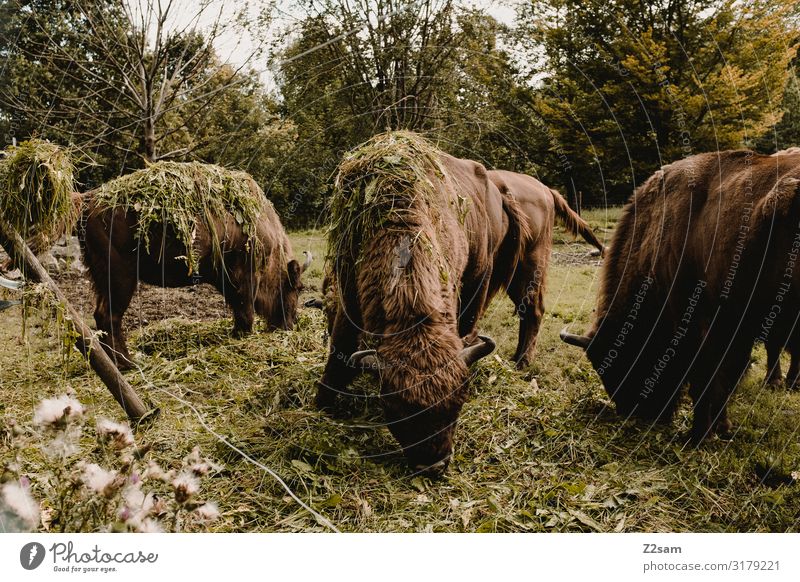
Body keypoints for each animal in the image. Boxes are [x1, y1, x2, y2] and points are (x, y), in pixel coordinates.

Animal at [79, 167, 308, 372]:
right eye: (297, 288)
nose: (289, 326)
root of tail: (89, 202)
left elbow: (238, 311)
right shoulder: (246, 277)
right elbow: (246, 313)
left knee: (101, 316)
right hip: (121, 277)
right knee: (110, 317)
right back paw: (127, 364)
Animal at [318, 132, 532, 474]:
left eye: (459, 402)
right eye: (396, 409)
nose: (435, 465)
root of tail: (498, 192)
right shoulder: (348, 289)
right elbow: (340, 349)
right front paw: (321, 402)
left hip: (482, 273)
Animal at [560, 148, 800, 444]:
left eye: (619, 360)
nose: (637, 411)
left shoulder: (698, 323)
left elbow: (705, 378)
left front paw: (699, 436)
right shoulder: (736, 328)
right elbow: (725, 378)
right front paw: (721, 427)